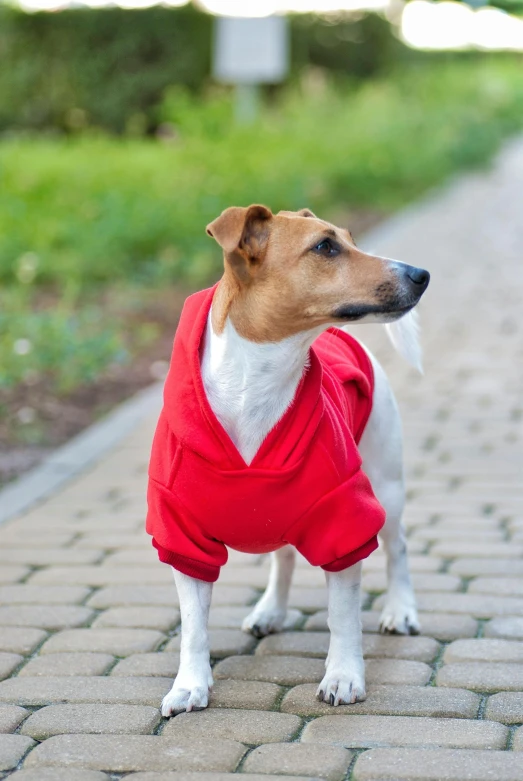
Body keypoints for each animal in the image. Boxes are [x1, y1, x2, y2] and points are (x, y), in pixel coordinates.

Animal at [146, 206, 430, 712]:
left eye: (349, 239)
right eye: (325, 247)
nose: (421, 274)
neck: (255, 386)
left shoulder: (345, 520)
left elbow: (343, 617)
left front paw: (343, 676)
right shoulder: (182, 537)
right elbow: (193, 626)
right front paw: (189, 685)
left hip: (387, 485)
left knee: (397, 546)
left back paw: (401, 610)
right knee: (282, 559)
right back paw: (270, 611)